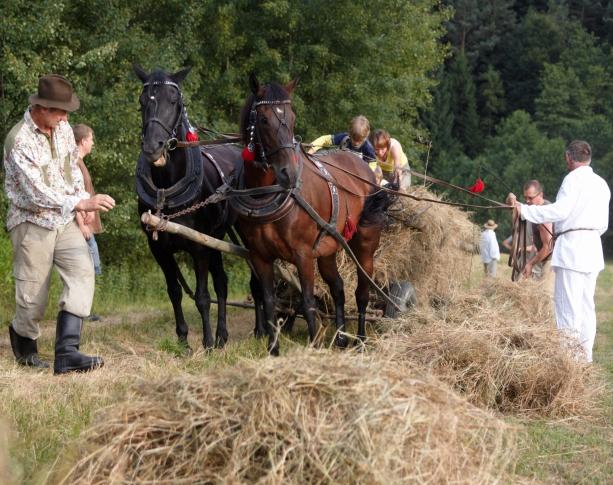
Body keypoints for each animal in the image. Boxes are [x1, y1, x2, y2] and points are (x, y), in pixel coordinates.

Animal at [134, 65, 244, 352]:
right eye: (142, 101)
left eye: (175, 101)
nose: (153, 148)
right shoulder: (159, 248)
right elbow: (174, 291)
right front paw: (183, 340)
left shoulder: (198, 247)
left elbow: (203, 296)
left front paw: (206, 343)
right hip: (216, 237)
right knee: (222, 282)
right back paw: (222, 336)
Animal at [237, 76, 390, 356]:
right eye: (263, 119)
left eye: (292, 117)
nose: (288, 172)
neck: (268, 193)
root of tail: (363, 165)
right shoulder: (259, 256)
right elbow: (269, 301)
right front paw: (273, 350)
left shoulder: (303, 254)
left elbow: (307, 300)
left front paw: (315, 347)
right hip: (328, 246)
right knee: (338, 288)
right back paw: (341, 338)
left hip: (364, 244)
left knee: (362, 292)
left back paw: (361, 341)